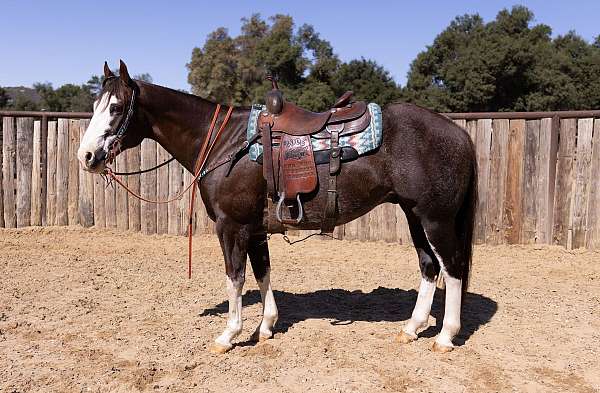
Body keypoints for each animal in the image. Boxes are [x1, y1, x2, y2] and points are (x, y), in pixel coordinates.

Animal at [77, 59, 478, 354]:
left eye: (115, 108)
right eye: (94, 106)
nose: (87, 156)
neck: (224, 143)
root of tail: (459, 133)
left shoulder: (231, 226)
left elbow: (235, 277)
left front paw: (229, 334)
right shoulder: (255, 229)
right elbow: (263, 272)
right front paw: (266, 326)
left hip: (436, 219)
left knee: (452, 268)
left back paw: (445, 336)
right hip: (414, 216)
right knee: (429, 266)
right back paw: (412, 328)